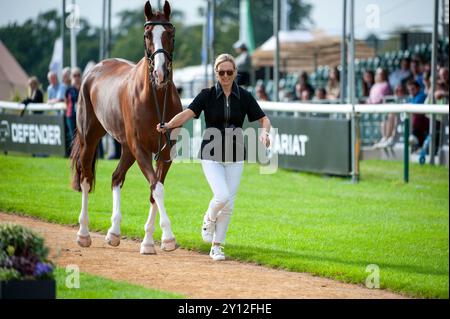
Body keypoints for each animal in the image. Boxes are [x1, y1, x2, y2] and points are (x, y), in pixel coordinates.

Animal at [69, 0, 182, 255]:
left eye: (170, 33)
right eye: (147, 34)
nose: (160, 73)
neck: (155, 97)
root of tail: (94, 69)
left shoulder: (165, 152)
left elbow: (155, 189)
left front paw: (149, 242)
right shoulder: (141, 149)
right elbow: (156, 188)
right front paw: (168, 238)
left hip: (126, 149)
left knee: (116, 177)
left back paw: (113, 232)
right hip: (91, 138)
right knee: (86, 177)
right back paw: (83, 234)